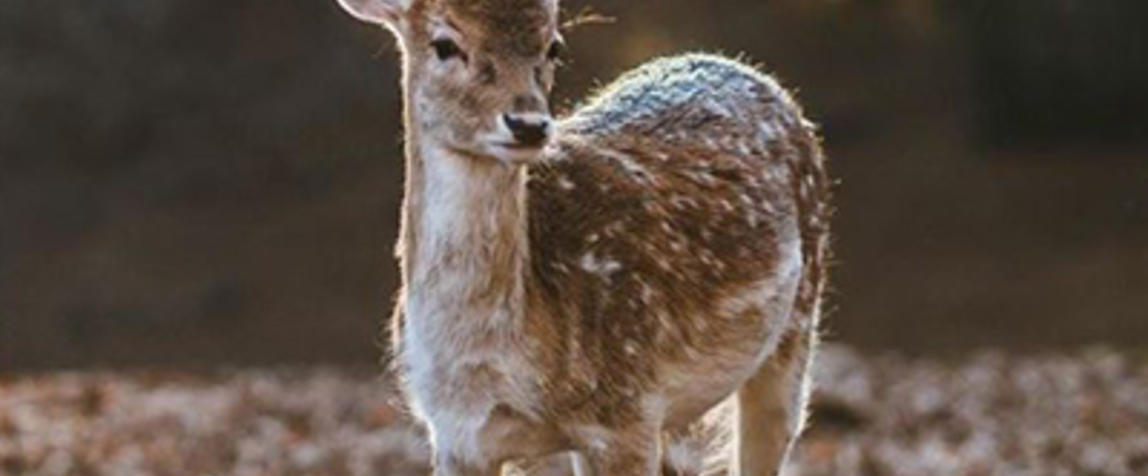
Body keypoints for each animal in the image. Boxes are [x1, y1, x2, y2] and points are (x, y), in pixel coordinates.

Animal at [334, 0, 831, 474]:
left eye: (553, 46)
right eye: (444, 44)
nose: (528, 123)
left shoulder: (627, 409)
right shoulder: (456, 435)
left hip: (797, 325)